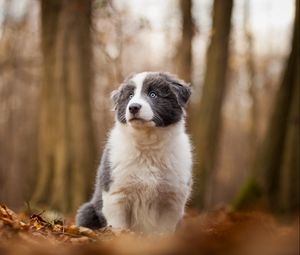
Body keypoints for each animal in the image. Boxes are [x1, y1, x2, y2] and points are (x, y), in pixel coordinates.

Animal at [75, 72, 192, 235]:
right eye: (130, 95)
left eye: (153, 94)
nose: (133, 107)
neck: (147, 144)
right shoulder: (116, 194)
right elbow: (118, 227)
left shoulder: (172, 198)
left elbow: (164, 231)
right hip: (87, 210)